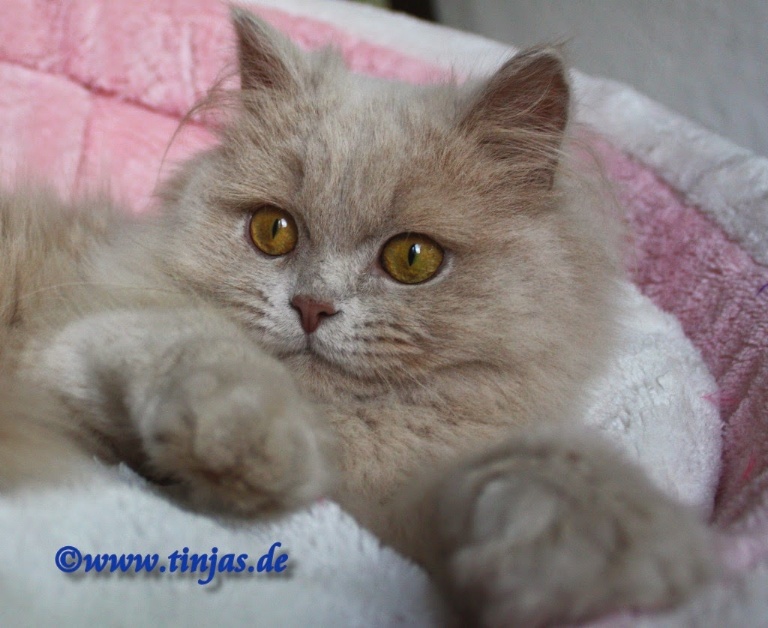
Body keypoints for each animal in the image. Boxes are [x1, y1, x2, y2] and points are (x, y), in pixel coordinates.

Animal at [0, 8, 716, 626]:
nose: (311, 306)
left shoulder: (400, 502)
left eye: (412, 258)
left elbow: (540, 466)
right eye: (273, 230)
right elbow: (204, 347)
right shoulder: (73, 342)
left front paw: (583, 551)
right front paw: (252, 445)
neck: (347, 430)